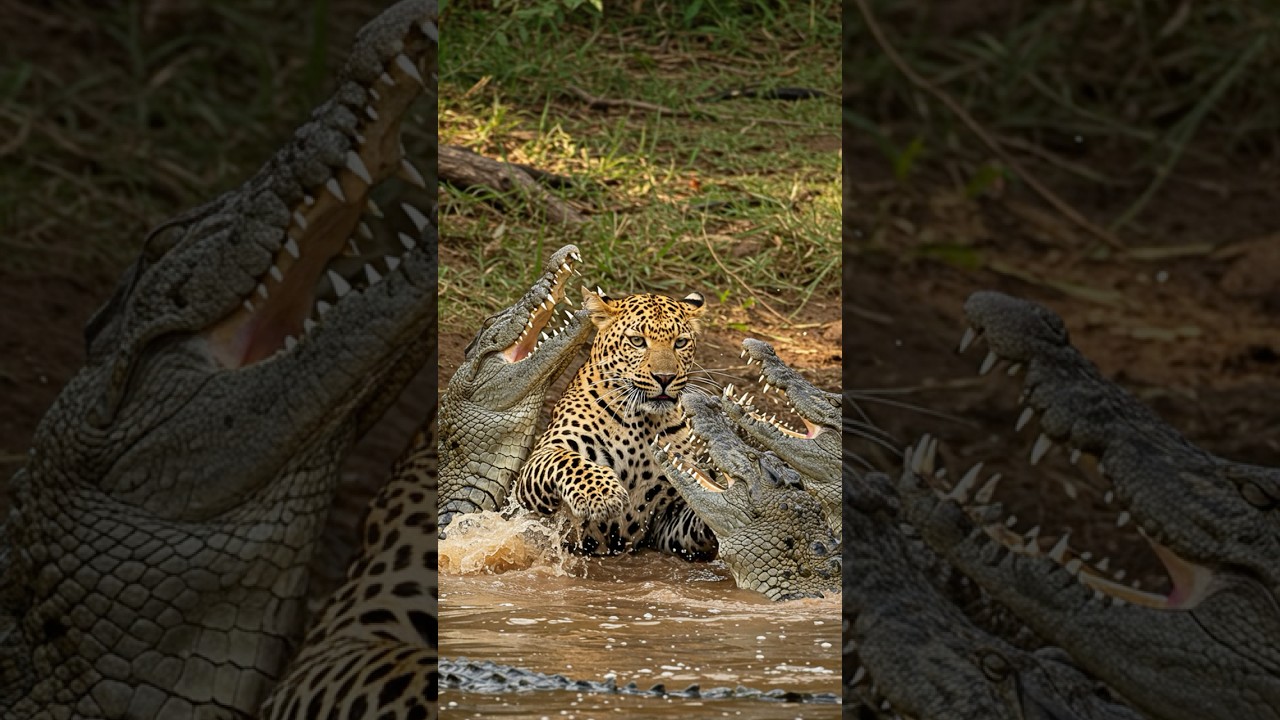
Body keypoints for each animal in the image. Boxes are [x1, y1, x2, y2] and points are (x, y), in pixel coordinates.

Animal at [512, 288, 718, 559]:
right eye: (638, 341)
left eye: (680, 343)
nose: (665, 378)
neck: (643, 422)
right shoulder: (541, 458)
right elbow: (568, 460)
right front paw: (603, 495)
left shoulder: (665, 522)